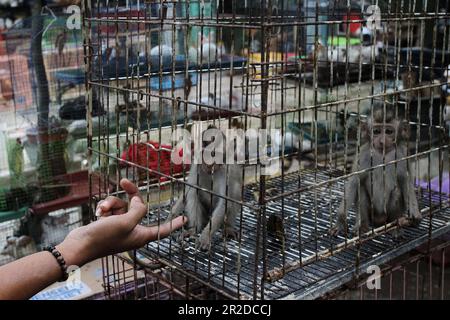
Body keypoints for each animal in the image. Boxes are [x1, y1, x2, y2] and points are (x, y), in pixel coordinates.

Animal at [330, 104, 422, 236]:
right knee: (361, 189)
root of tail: (379, 220)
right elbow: (354, 182)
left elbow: (406, 181)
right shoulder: (363, 155)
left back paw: (395, 226)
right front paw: (340, 221)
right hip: (371, 213)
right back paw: (363, 226)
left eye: (389, 131)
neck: (382, 154)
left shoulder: (403, 154)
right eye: (376, 131)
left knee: (397, 191)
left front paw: (415, 214)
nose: (382, 141)